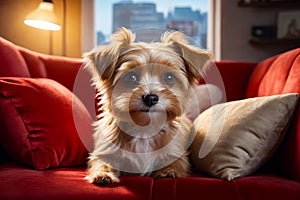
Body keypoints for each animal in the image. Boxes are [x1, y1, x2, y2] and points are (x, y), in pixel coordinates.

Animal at [83, 27, 212, 184]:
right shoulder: (105, 150)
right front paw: (103, 174)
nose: (150, 98)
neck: (144, 130)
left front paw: (168, 172)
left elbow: (176, 164)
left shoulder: (176, 154)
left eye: (169, 77)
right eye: (131, 77)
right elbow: (101, 162)